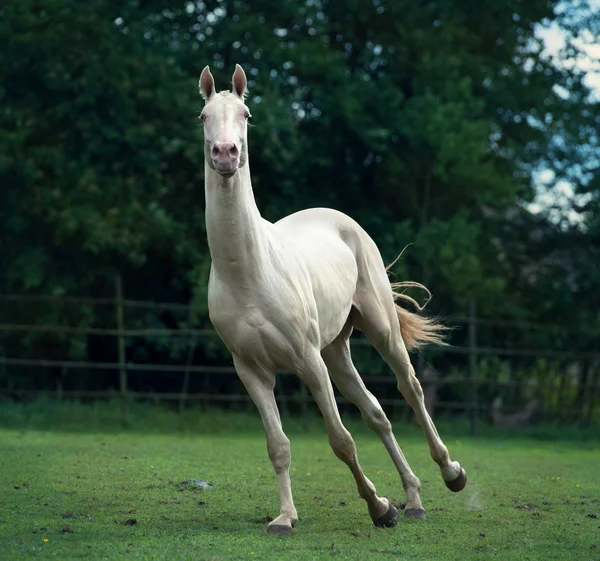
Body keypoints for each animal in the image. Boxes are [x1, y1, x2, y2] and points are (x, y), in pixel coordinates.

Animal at [199, 63, 466, 532]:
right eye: (203, 116)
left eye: (245, 114)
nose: (226, 154)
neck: (250, 274)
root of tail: (343, 220)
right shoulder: (252, 372)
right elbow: (278, 445)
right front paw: (285, 517)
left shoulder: (308, 361)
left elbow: (340, 440)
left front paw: (379, 508)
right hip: (337, 351)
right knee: (377, 413)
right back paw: (414, 498)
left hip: (378, 332)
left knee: (410, 389)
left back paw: (451, 474)